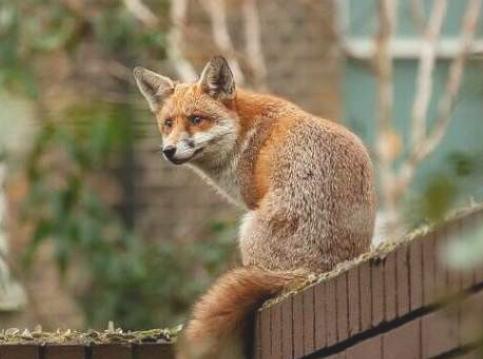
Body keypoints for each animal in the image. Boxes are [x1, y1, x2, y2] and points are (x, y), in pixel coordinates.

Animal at [133, 57, 378, 359]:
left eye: (196, 119)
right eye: (168, 123)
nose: (168, 151)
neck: (243, 132)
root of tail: (316, 270)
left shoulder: (251, 198)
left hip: (247, 230)